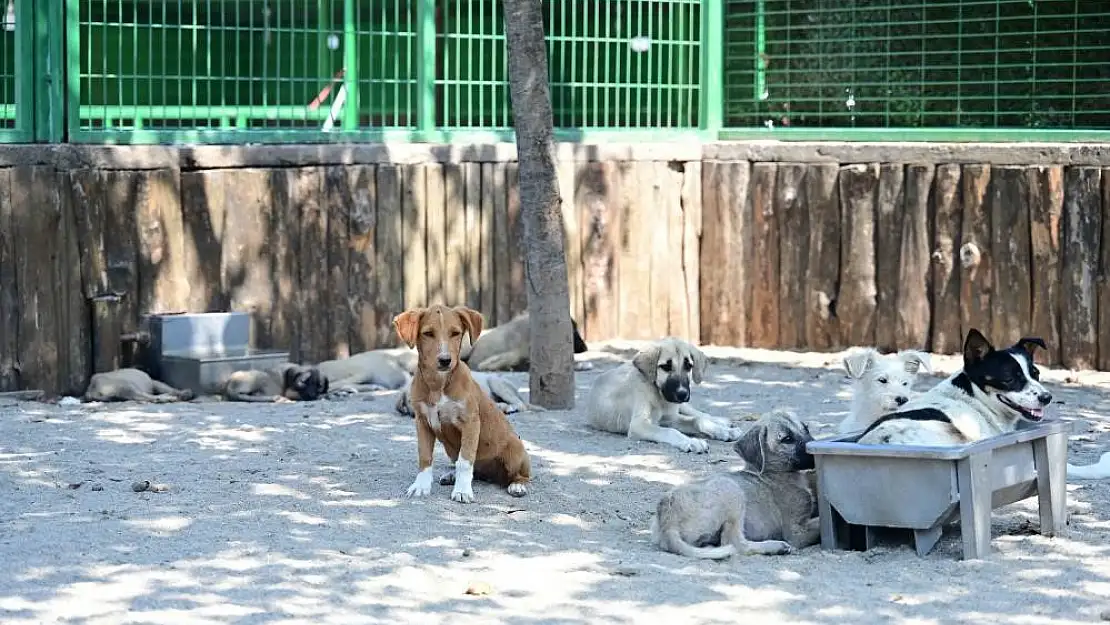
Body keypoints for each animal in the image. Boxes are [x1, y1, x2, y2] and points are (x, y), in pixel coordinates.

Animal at [392, 304, 530, 503]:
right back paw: (451, 476)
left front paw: (463, 491)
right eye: (428, 333)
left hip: (515, 450)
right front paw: (421, 486)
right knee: (469, 469)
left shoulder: (470, 423)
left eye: (455, 333)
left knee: (521, 476)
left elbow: (465, 461)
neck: (438, 385)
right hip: (452, 451)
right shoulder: (422, 422)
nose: (445, 360)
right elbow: (425, 457)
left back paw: (517, 486)